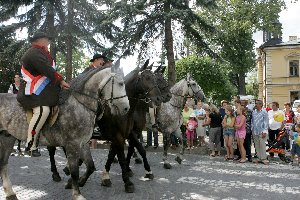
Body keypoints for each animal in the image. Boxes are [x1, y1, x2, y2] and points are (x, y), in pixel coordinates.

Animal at [0, 67, 129, 200]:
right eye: (121, 83)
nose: (126, 108)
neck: (80, 104)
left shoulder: (83, 144)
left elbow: (91, 166)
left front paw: (79, 182)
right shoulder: (72, 145)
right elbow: (74, 171)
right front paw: (77, 194)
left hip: (7, 138)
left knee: (3, 163)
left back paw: (10, 192)